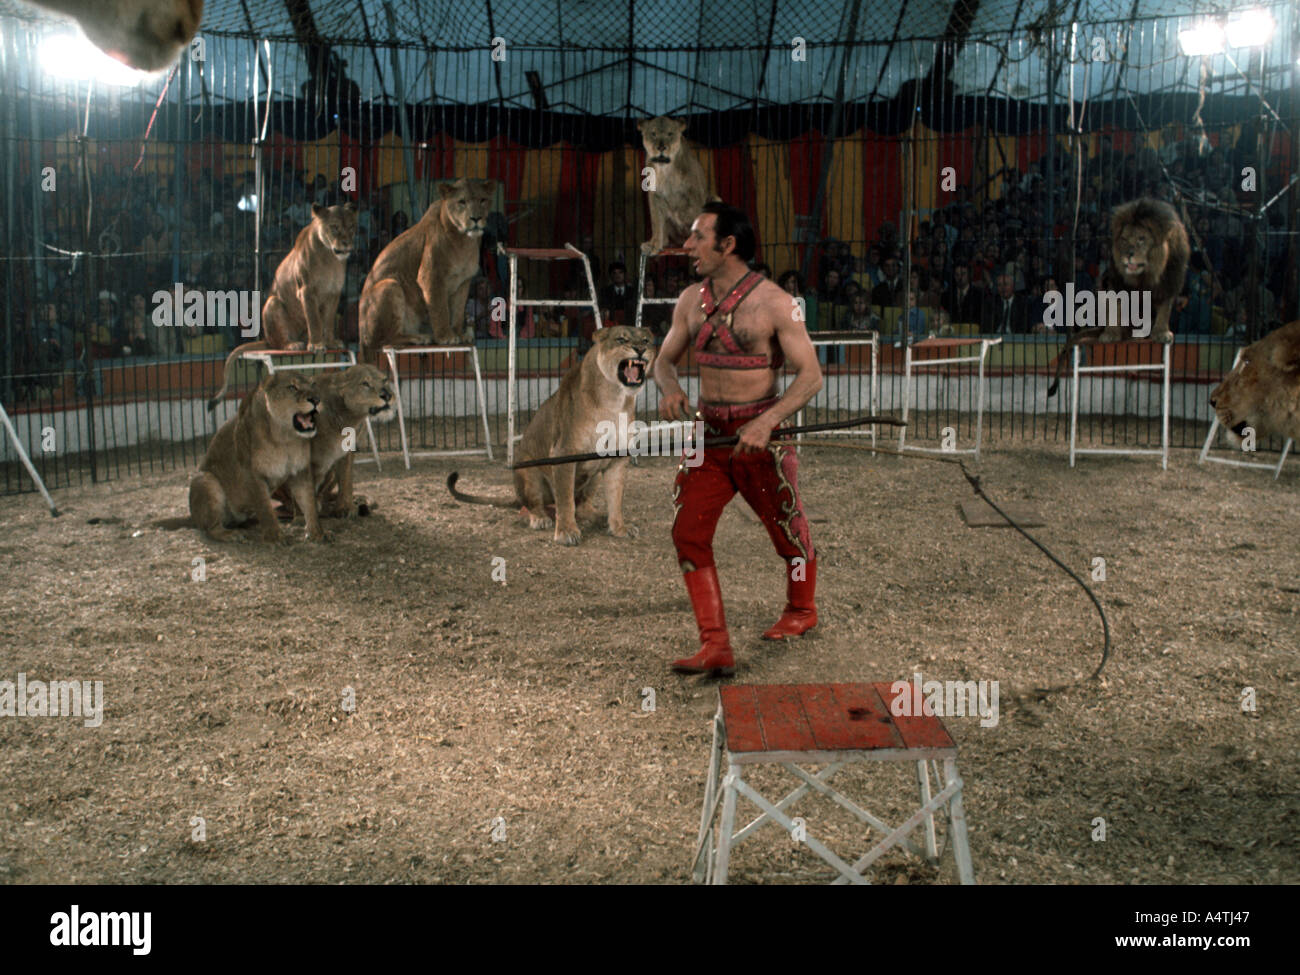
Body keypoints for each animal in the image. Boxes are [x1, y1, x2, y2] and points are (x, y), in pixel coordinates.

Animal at [447, 326, 655, 543]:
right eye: (621, 339)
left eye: (646, 340)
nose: (641, 349)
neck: (615, 399)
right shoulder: (564, 453)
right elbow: (565, 500)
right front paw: (566, 532)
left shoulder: (617, 458)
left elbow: (615, 499)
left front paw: (619, 528)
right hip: (529, 471)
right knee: (534, 504)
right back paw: (540, 519)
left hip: (595, 474)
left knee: (582, 505)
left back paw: (598, 516)